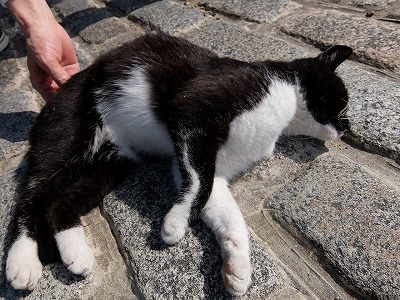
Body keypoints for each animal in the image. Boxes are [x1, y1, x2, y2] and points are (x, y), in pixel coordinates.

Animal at [4, 32, 352, 296]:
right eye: (343, 100)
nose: (347, 128)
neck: (285, 97)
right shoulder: (193, 111)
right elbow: (201, 184)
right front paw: (175, 224)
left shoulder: (206, 160)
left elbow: (225, 209)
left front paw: (238, 267)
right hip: (70, 134)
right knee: (31, 196)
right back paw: (22, 261)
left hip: (112, 164)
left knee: (59, 204)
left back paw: (75, 253)